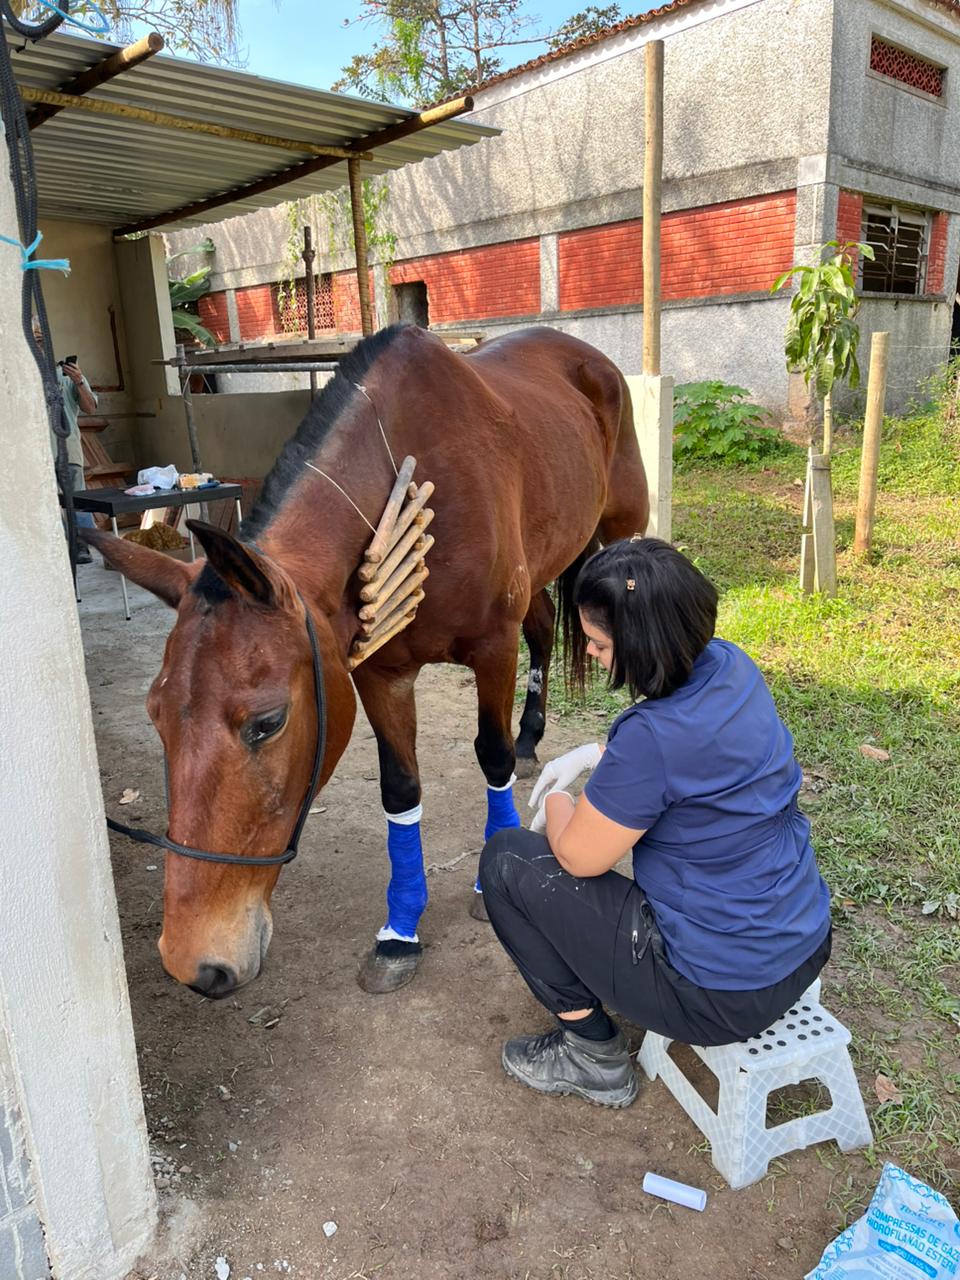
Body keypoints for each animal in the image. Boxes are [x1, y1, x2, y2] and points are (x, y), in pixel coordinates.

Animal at [87, 324, 649, 998]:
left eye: (267, 723)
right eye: (155, 715)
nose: (193, 962)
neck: (410, 478)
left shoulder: (493, 648)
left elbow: (490, 756)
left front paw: (485, 882)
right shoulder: (379, 673)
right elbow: (400, 789)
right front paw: (400, 931)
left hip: (621, 530)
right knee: (541, 628)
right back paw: (532, 735)